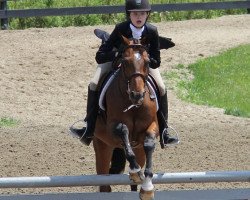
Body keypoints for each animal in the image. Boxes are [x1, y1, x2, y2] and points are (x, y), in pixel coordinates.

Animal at [93, 35, 159, 199]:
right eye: (125, 62)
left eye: (147, 62)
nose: (137, 95)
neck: (133, 105)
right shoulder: (112, 127)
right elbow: (123, 130)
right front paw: (135, 171)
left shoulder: (151, 127)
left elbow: (149, 143)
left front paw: (147, 187)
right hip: (103, 146)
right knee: (104, 183)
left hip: (139, 149)